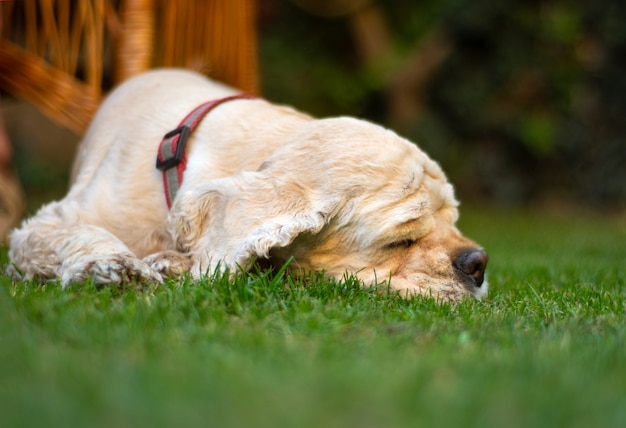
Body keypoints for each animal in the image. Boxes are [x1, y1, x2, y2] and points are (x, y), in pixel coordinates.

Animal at [8, 67, 488, 300]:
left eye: (453, 220)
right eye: (400, 241)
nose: (479, 264)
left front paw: (170, 264)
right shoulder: (45, 224)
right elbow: (80, 234)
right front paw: (111, 267)